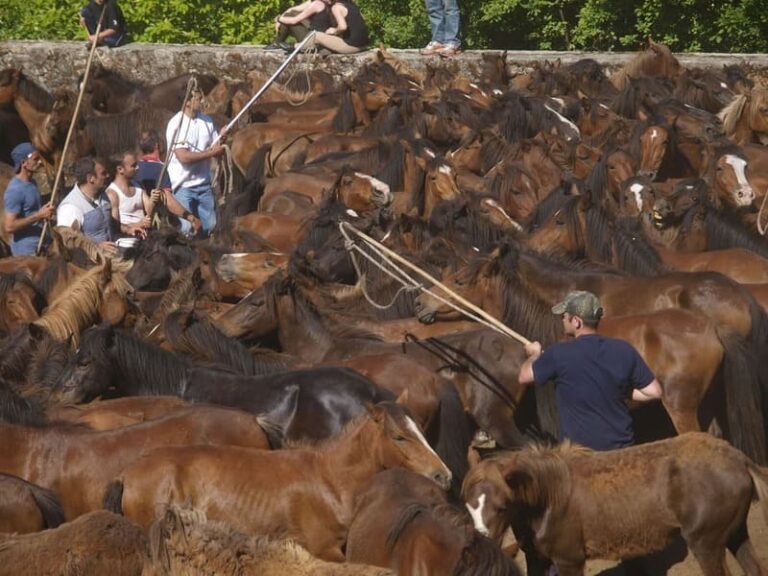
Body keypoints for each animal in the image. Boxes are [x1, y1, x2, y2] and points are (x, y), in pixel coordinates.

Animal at [103, 402, 450, 560]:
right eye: (400, 436)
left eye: (419, 430)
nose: (442, 475)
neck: (329, 482)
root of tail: (126, 474)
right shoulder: (325, 550)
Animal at [462, 432, 768, 576]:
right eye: (468, 505)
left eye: (502, 505)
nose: (482, 543)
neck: (549, 499)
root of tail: (739, 459)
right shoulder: (537, 558)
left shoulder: (568, 560)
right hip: (734, 533)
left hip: (706, 543)